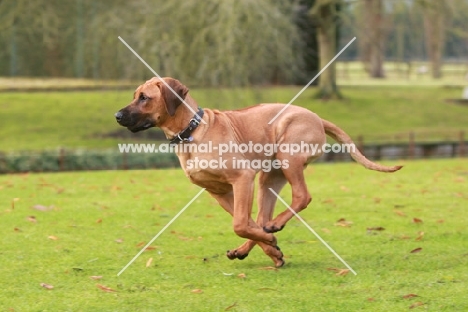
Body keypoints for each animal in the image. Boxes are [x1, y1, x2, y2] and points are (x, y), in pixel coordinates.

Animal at [114, 77, 402, 266]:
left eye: (144, 97)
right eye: (135, 95)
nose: (117, 115)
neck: (193, 131)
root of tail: (317, 118)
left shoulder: (242, 179)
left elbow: (240, 223)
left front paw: (268, 243)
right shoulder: (218, 191)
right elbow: (247, 223)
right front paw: (271, 248)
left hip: (288, 157)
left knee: (301, 197)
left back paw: (274, 226)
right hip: (269, 179)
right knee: (263, 218)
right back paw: (257, 243)